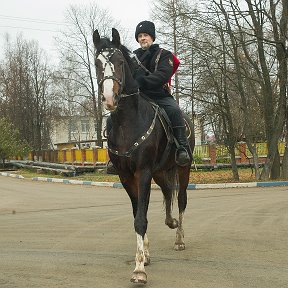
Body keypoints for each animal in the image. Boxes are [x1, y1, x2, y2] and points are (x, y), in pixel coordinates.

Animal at [93, 27, 195, 284]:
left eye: (120, 62)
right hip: (160, 171)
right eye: (97, 63)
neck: (127, 123)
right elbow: (138, 213)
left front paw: (139, 269)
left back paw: (179, 238)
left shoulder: (144, 172)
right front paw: (145, 256)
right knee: (168, 192)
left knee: (181, 199)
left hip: (182, 168)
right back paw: (171, 222)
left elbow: (141, 217)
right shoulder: (126, 176)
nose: (109, 98)